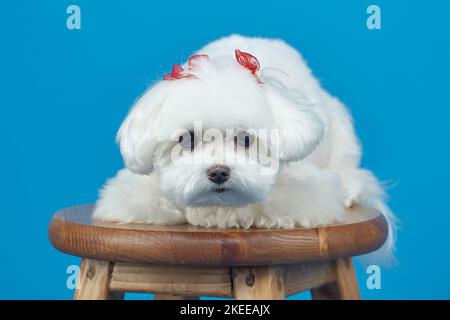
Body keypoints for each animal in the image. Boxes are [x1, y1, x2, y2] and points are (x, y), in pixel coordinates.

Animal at [93, 35, 396, 260]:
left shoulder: (306, 194)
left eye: (246, 139)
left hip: (342, 134)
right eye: (187, 139)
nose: (218, 172)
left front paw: (223, 214)